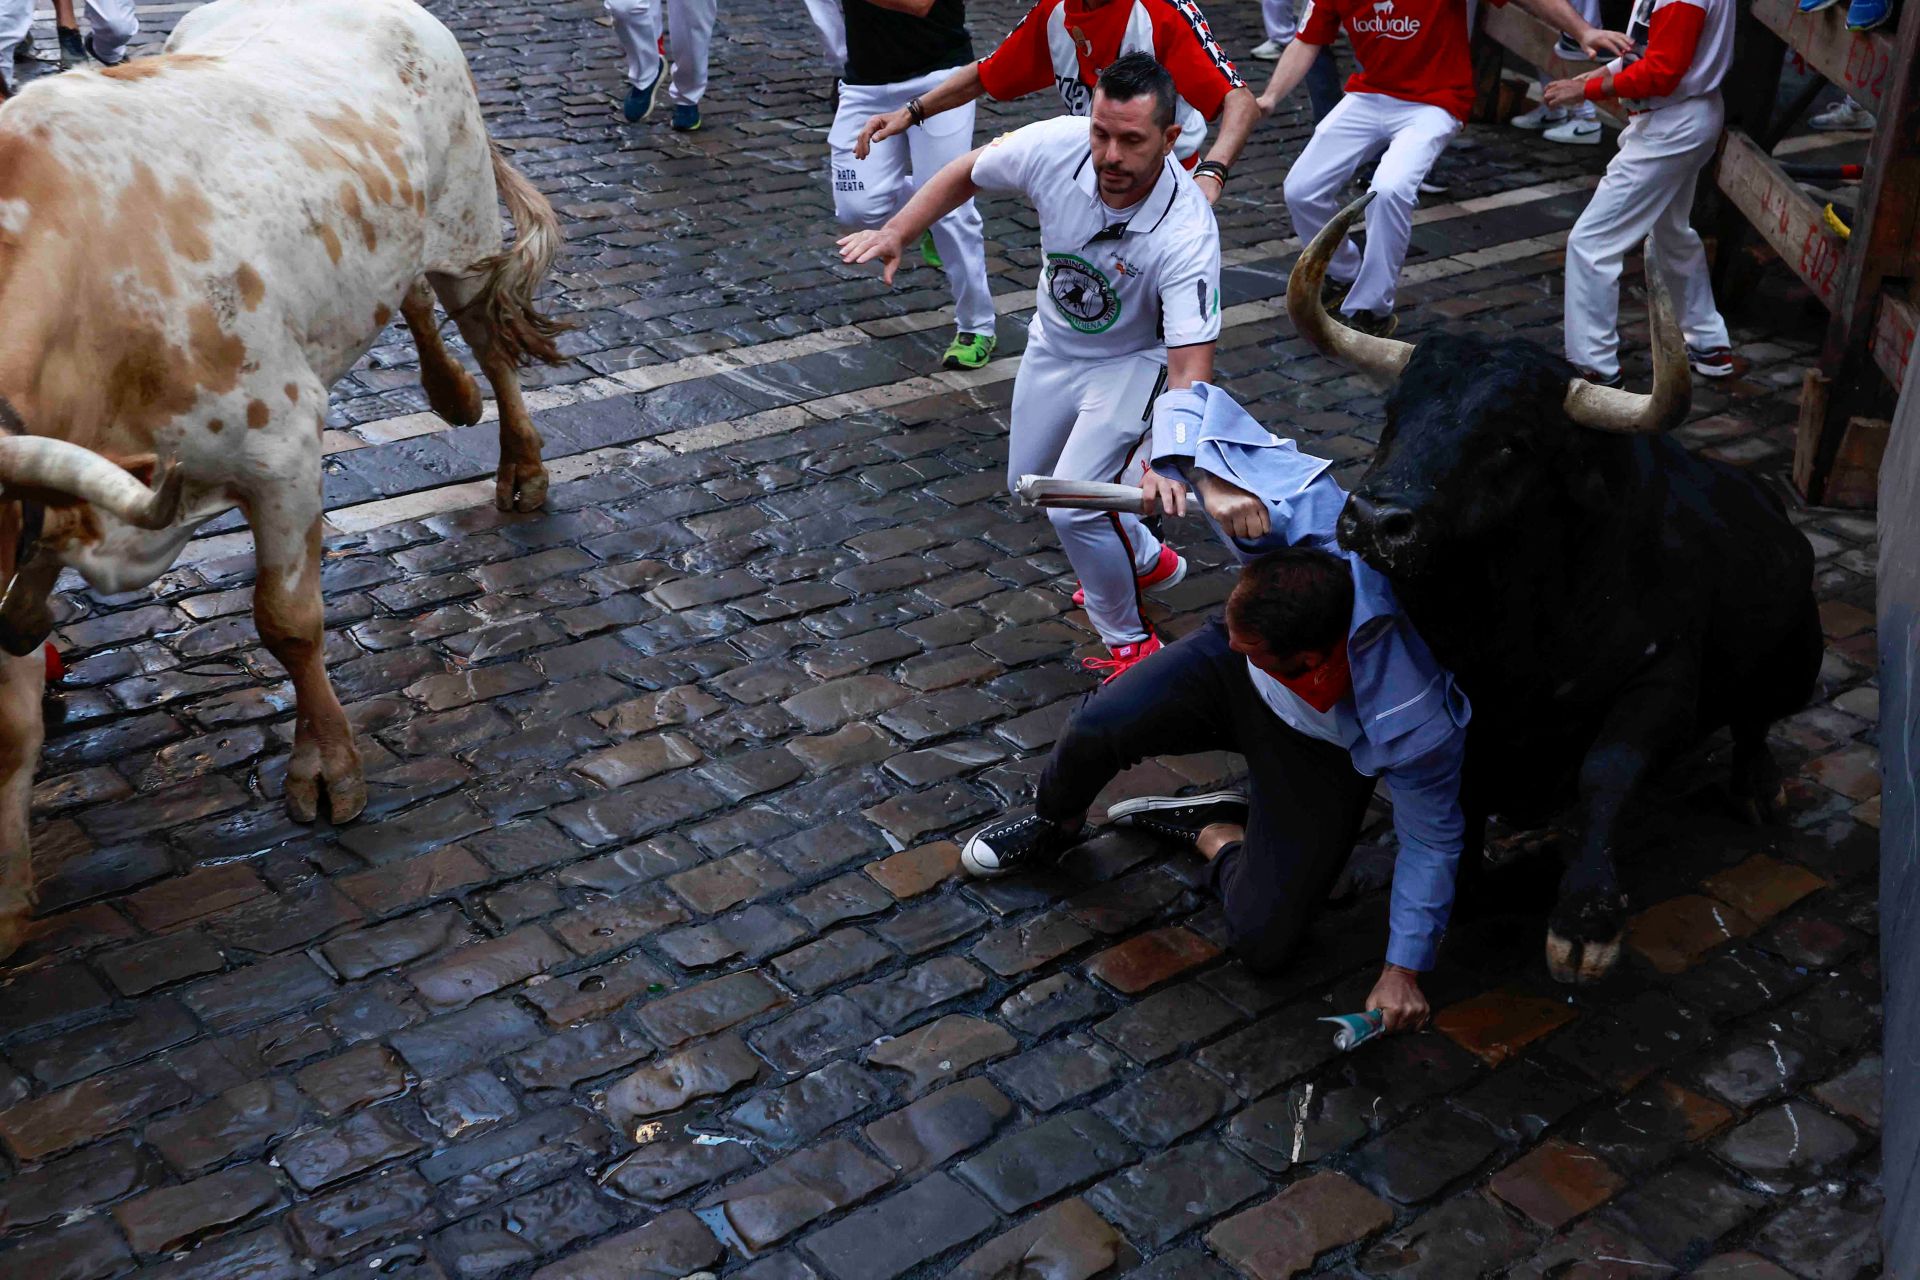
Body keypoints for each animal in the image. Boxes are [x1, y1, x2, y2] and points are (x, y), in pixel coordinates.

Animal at [1290, 195, 1812, 990]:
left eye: (1512, 442)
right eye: (1392, 418)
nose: (1378, 521)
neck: (1509, 635)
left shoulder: (1663, 682)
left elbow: (1607, 771)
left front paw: (1585, 921)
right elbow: (1464, 802)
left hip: (1796, 665)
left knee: (1757, 721)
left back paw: (1759, 787)